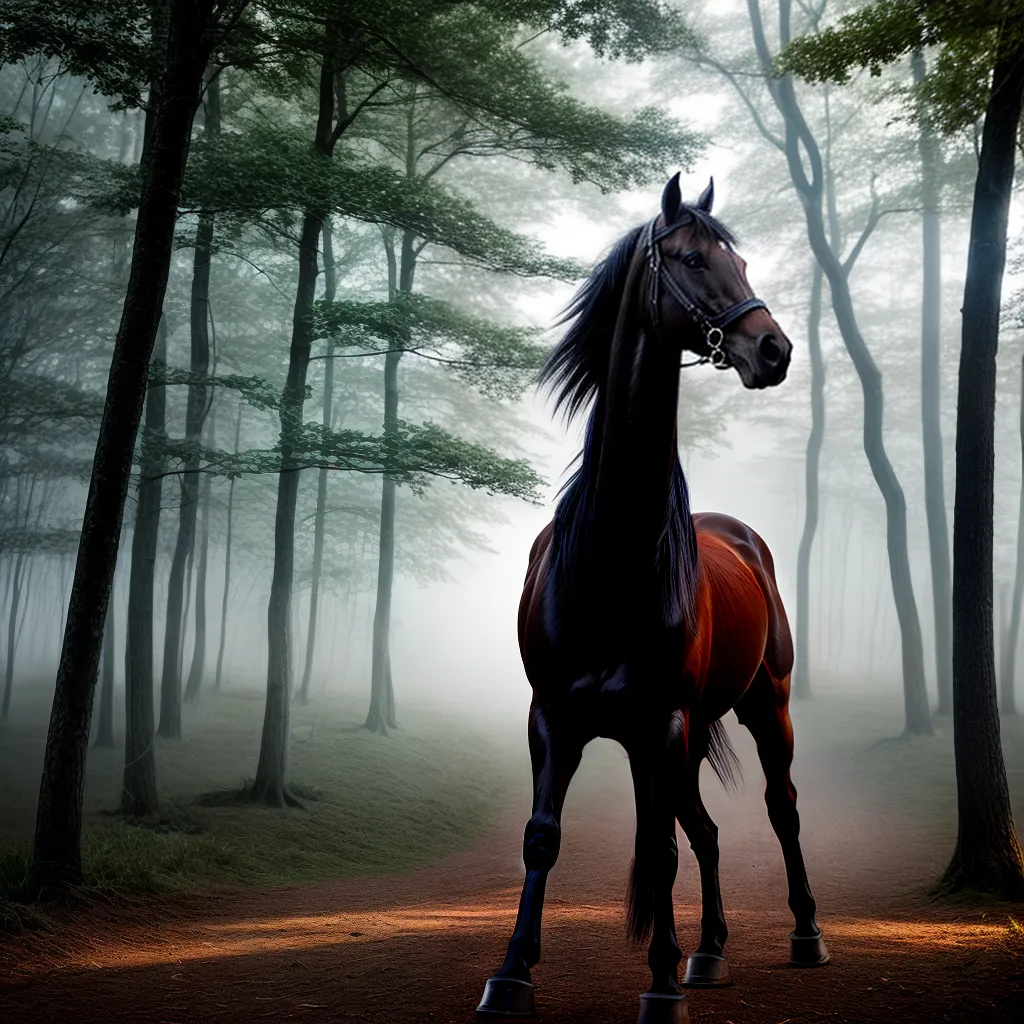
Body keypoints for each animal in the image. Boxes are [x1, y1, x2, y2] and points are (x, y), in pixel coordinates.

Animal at [476, 175, 828, 1024]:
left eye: (740, 260)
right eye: (694, 259)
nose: (773, 350)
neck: (611, 557)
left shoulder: (660, 723)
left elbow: (661, 847)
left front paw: (660, 984)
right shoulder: (554, 719)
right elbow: (544, 836)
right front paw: (512, 971)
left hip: (762, 707)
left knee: (781, 806)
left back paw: (803, 934)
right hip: (689, 736)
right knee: (704, 829)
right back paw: (709, 950)